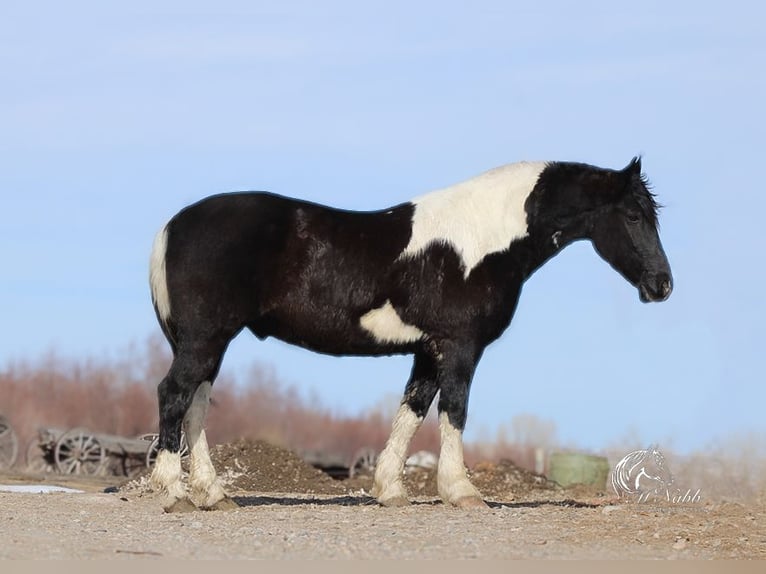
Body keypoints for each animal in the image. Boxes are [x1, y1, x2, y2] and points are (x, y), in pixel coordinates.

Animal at [146, 155, 672, 510]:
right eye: (633, 215)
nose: (662, 285)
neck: (480, 242)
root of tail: (173, 225)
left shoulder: (426, 350)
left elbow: (412, 410)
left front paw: (391, 490)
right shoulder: (459, 347)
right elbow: (454, 412)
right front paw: (462, 492)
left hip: (209, 344)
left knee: (195, 406)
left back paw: (214, 495)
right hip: (205, 340)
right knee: (174, 396)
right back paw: (174, 493)